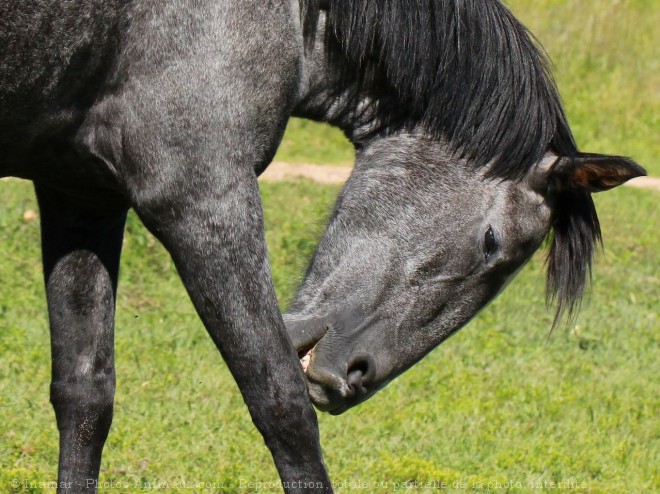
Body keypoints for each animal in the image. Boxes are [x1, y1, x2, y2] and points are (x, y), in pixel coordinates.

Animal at [0, 0, 640, 494]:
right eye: (492, 243)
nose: (351, 378)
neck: (286, 13)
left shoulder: (82, 196)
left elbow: (85, 395)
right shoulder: (201, 197)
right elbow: (282, 405)